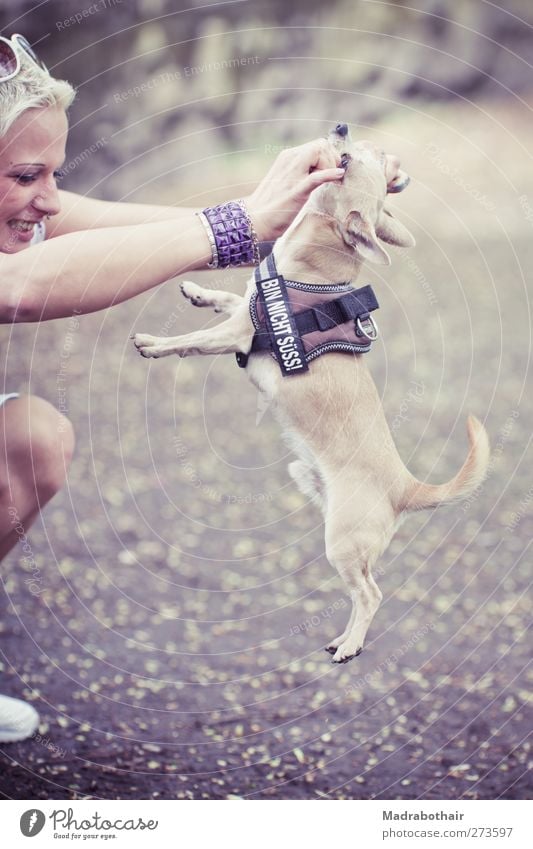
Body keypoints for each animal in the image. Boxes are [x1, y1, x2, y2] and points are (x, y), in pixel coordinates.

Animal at [132, 124, 486, 664]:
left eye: (350, 161)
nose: (340, 126)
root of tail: (405, 487)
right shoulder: (243, 312)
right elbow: (228, 296)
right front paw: (198, 291)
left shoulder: (238, 334)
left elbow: (189, 341)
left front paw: (154, 344)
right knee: (363, 588)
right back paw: (344, 637)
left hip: (340, 540)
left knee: (371, 593)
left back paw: (352, 645)